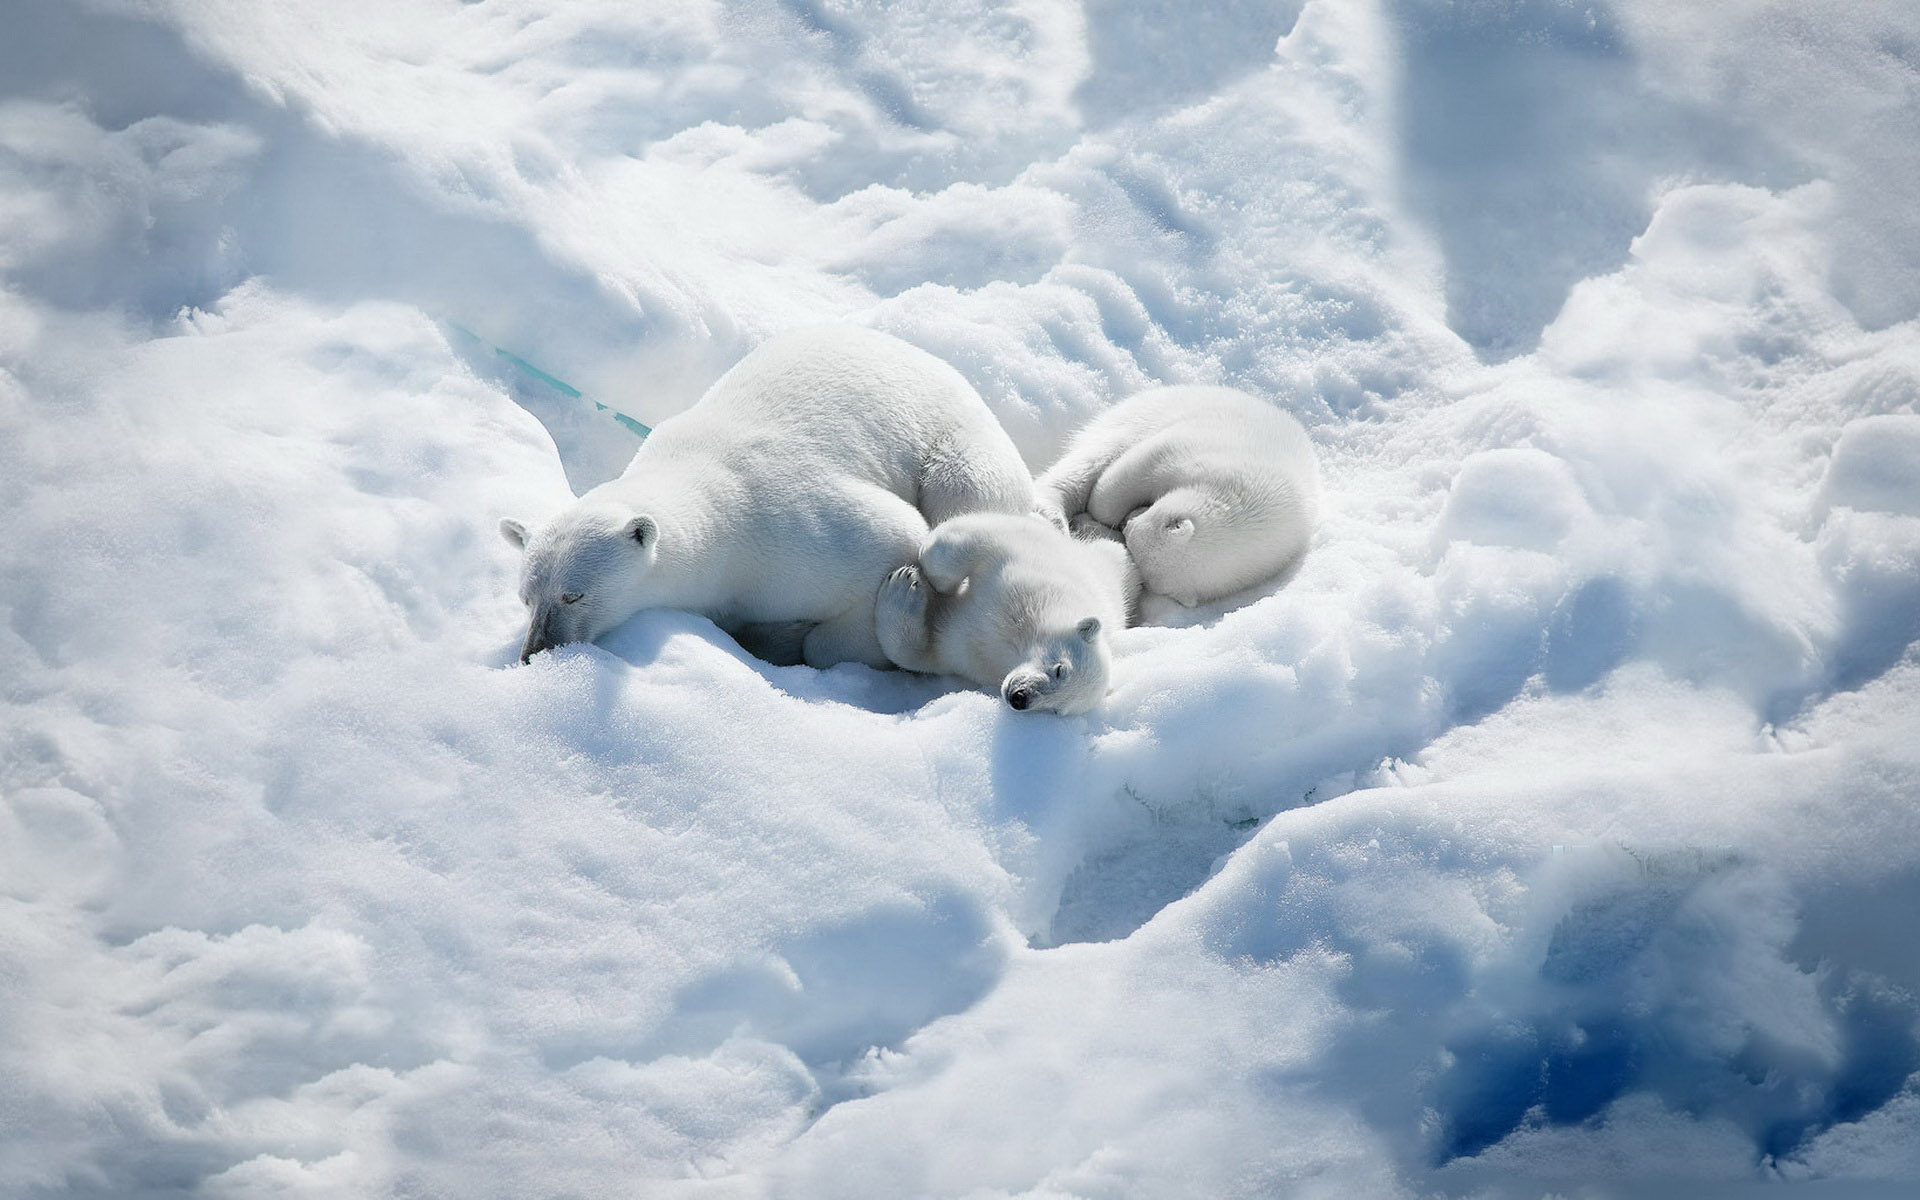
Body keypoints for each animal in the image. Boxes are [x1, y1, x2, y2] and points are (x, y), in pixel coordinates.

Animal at [499, 322, 1036, 668]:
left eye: (573, 594)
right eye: (526, 598)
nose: (534, 652)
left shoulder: (794, 533)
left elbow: (897, 540)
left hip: (956, 444)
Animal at [875, 510, 1136, 714]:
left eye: (1056, 710)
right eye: (1060, 669)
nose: (1020, 698)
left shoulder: (972, 655)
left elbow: (924, 653)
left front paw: (902, 588)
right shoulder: (1023, 567)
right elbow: (979, 539)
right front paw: (924, 580)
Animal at [1036, 385, 1320, 606]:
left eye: (1131, 539)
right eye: (1132, 529)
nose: (1127, 523)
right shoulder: (1201, 452)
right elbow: (1135, 469)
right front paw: (1096, 514)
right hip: (1138, 416)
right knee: (1094, 456)